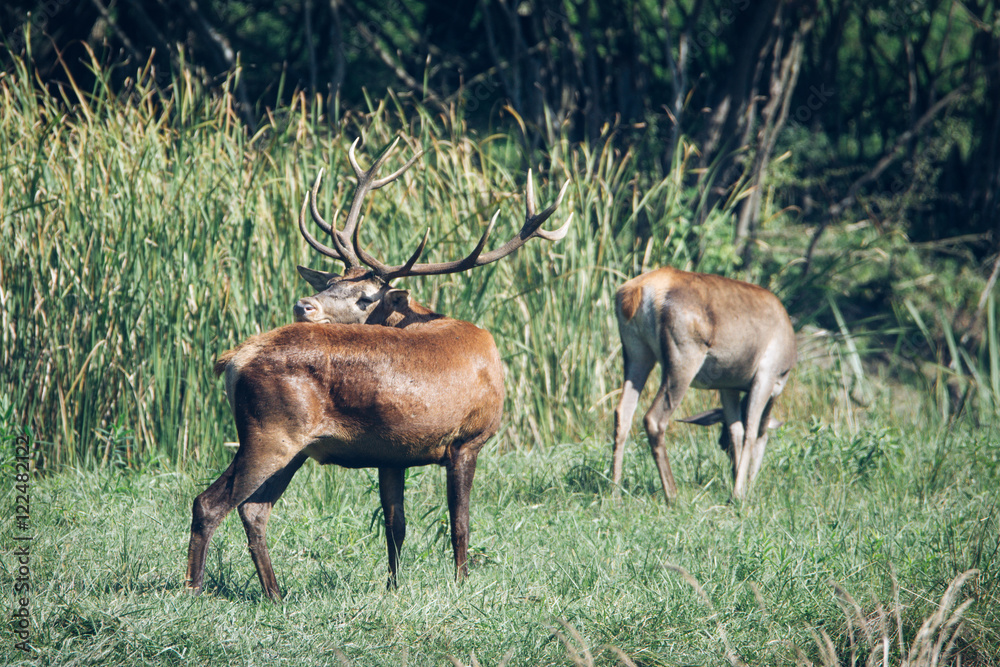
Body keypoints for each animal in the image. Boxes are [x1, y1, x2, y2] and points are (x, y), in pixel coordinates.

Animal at [186, 138, 571, 601]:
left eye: (366, 296)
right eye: (330, 281)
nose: (303, 304)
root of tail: (233, 359)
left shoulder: (394, 453)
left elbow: (395, 526)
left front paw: (393, 587)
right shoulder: (468, 438)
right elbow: (459, 524)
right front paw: (462, 585)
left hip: (288, 445)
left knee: (254, 509)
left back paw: (275, 594)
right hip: (271, 432)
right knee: (210, 503)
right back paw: (193, 591)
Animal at [611, 266, 796, 503]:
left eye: (722, 444)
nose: (749, 483)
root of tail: (637, 291)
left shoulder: (728, 385)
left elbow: (736, 430)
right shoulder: (765, 375)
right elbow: (751, 431)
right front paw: (738, 496)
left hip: (637, 356)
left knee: (622, 413)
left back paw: (615, 492)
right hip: (682, 362)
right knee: (653, 418)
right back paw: (673, 495)